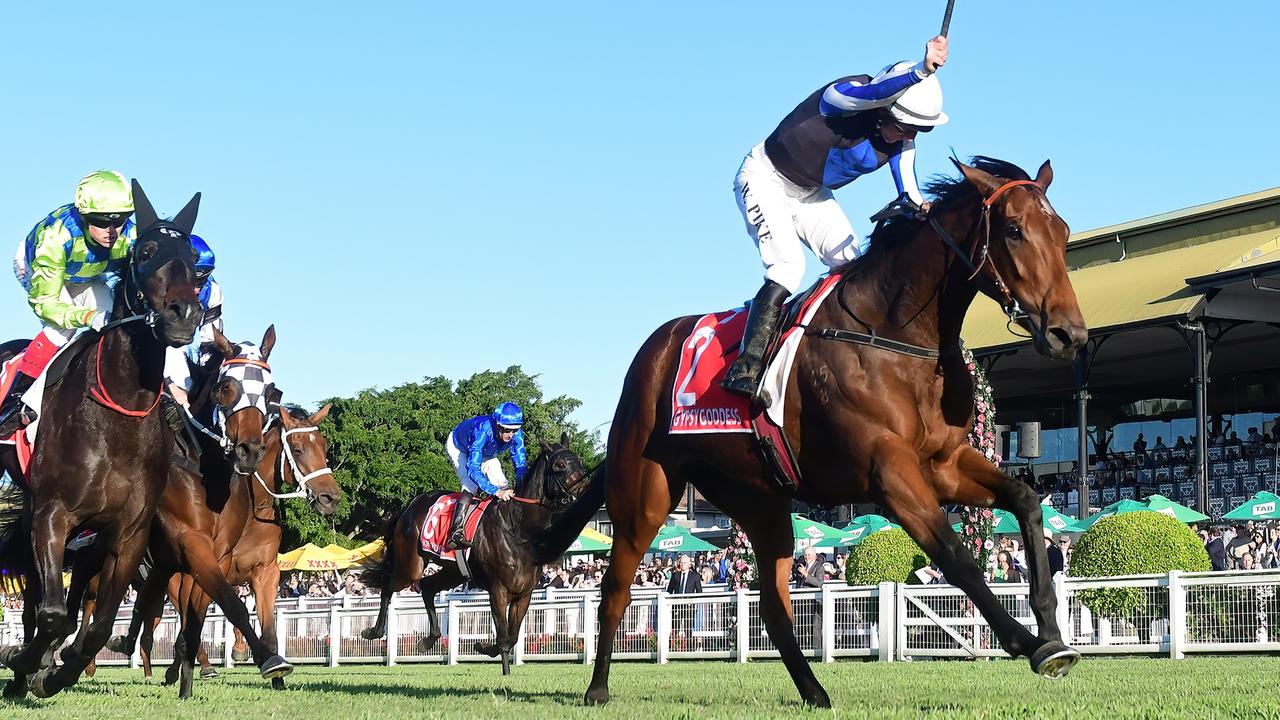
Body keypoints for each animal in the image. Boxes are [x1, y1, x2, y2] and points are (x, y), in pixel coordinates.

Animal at [0, 180, 202, 696]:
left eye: (193, 260)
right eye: (146, 252)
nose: (184, 315)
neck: (118, 417)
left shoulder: (128, 533)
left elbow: (98, 625)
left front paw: (54, 671)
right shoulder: (53, 514)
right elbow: (54, 614)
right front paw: (24, 662)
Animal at [360, 430, 593, 671]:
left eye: (579, 462)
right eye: (560, 465)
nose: (585, 489)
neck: (520, 529)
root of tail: (411, 505)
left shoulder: (524, 594)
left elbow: (511, 637)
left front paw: (488, 650)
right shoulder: (498, 590)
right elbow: (504, 636)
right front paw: (487, 650)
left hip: (454, 572)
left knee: (427, 587)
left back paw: (428, 640)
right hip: (410, 566)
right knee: (389, 583)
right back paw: (374, 631)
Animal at [586, 155, 1085, 702]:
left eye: (1062, 231)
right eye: (1014, 230)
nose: (1070, 334)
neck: (895, 335)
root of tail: (652, 351)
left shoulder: (945, 465)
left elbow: (1025, 500)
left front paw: (1051, 630)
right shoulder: (889, 472)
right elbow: (954, 553)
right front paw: (1027, 642)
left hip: (761, 502)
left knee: (774, 605)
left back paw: (814, 692)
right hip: (644, 497)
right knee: (615, 588)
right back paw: (597, 689)